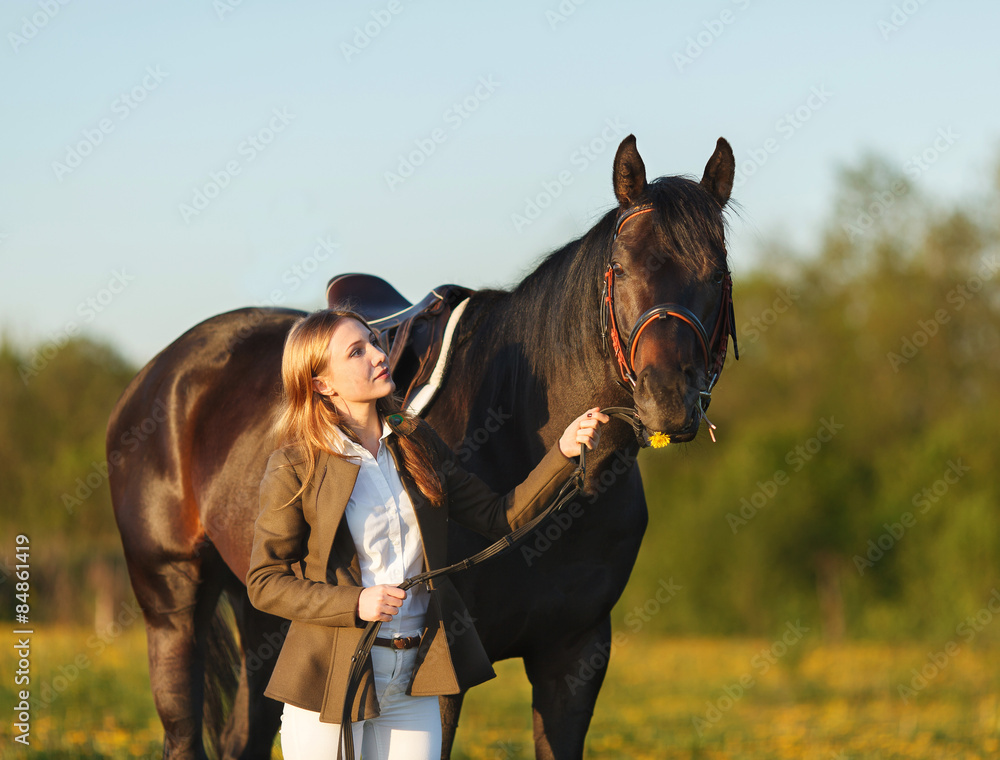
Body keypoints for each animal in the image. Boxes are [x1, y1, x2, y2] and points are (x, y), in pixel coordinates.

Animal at [107, 133, 736, 759]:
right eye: (620, 269)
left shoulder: (576, 654)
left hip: (266, 611)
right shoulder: (446, 670)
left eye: (717, 273)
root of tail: (159, 375)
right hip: (172, 604)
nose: (668, 397)